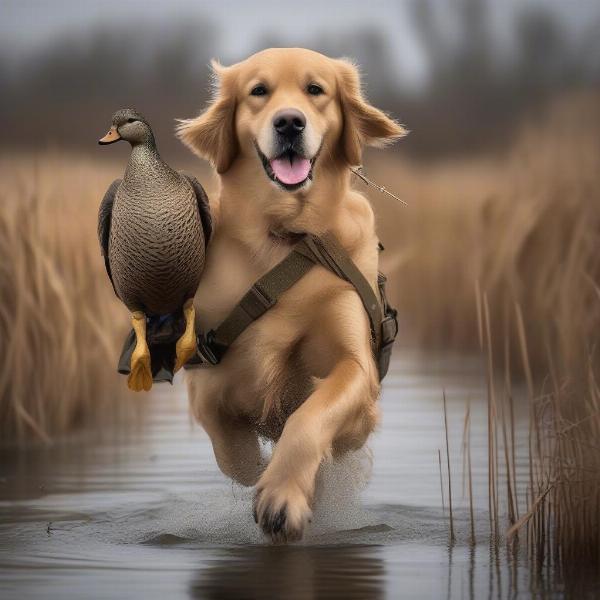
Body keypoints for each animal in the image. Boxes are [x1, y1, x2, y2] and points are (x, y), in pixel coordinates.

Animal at [176, 48, 406, 544]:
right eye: (258, 91)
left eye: (315, 90)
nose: (289, 123)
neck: (284, 236)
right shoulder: (205, 368)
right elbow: (231, 448)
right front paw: (259, 469)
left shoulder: (356, 365)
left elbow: (310, 417)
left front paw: (283, 496)